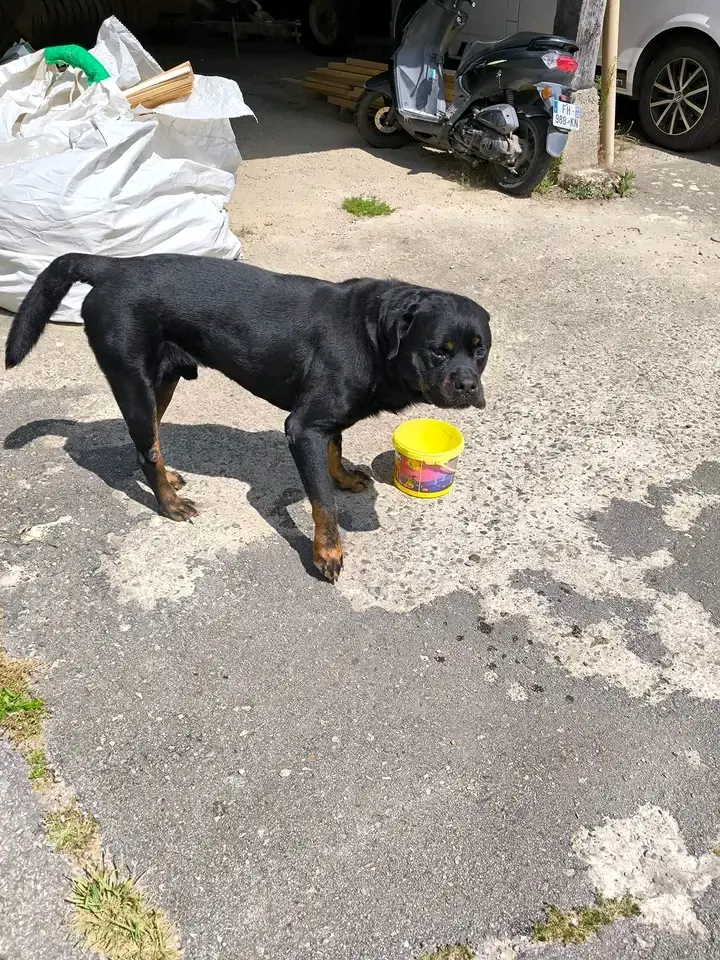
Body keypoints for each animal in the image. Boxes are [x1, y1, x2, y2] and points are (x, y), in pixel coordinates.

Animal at [4, 253, 490, 576]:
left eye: (480, 350)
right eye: (439, 350)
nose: (468, 387)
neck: (375, 336)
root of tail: (111, 266)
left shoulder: (324, 421)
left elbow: (335, 450)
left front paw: (343, 477)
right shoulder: (303, 426)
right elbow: (323, 505)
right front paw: (327, 552)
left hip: (163, 380)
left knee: (151, 438)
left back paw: (169, 478)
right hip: (132, 380)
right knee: (146, 448)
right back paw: (169, 502)